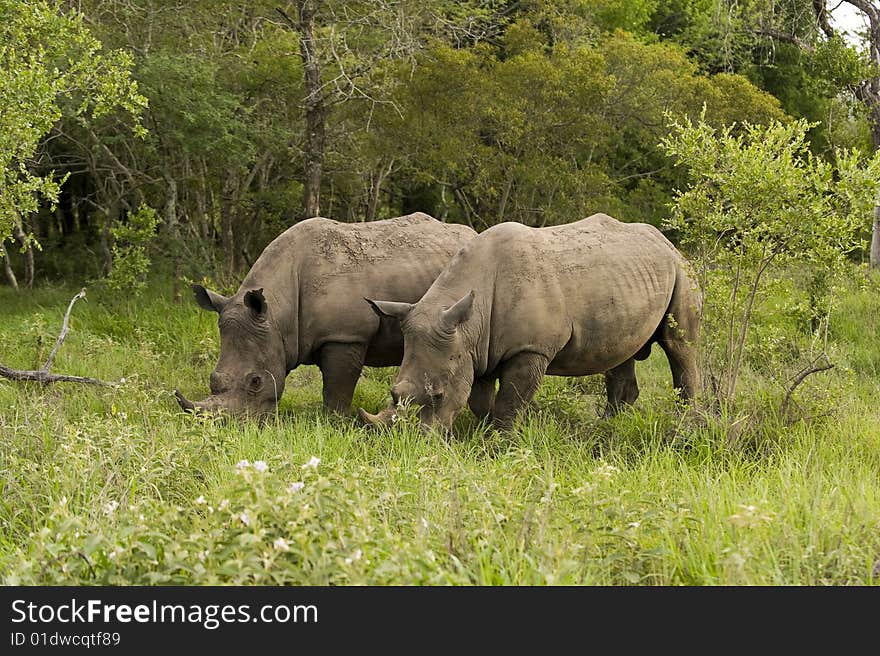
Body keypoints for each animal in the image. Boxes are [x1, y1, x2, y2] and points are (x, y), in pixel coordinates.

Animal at [173, 217, 474, 420]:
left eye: (255, 381)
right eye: (212, 378)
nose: (231, 426)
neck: (276, 314)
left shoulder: (345, 336)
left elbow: (336, 389)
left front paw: (334, 424)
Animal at [358, 213, 700, 434]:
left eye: (438, 396)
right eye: (393, 393)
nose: (414, 441)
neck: (469, 322)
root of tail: (667, 242)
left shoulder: (531, 349)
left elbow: (510, 402)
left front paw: (499, 443)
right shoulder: (477, 346)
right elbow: (480, 400)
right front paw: (483, 432)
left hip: (682, 271)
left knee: (679, 346)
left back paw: (682, 425)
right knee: (619, 353)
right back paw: (607, 426)